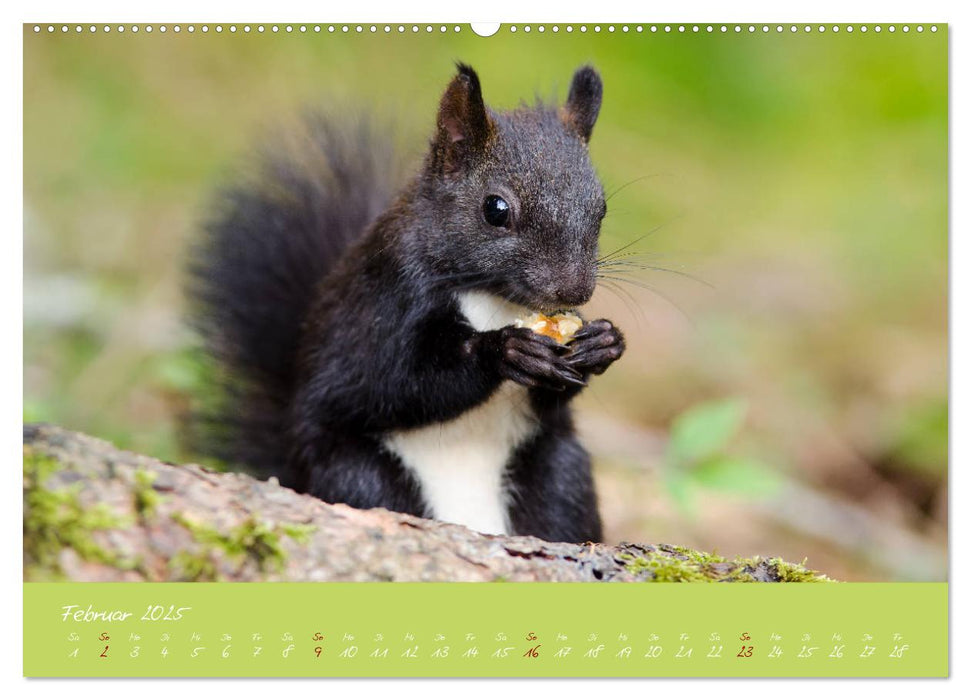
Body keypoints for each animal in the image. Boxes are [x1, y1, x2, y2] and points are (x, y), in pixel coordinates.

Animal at [189, 64, 628, 540]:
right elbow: (398, 384)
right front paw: (503, 351)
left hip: (562, 476)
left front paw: (603, 343)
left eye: (602, 210)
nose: (574, 290)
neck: (492, 296)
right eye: (495, 209)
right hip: (356, 473)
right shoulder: (387, 302)